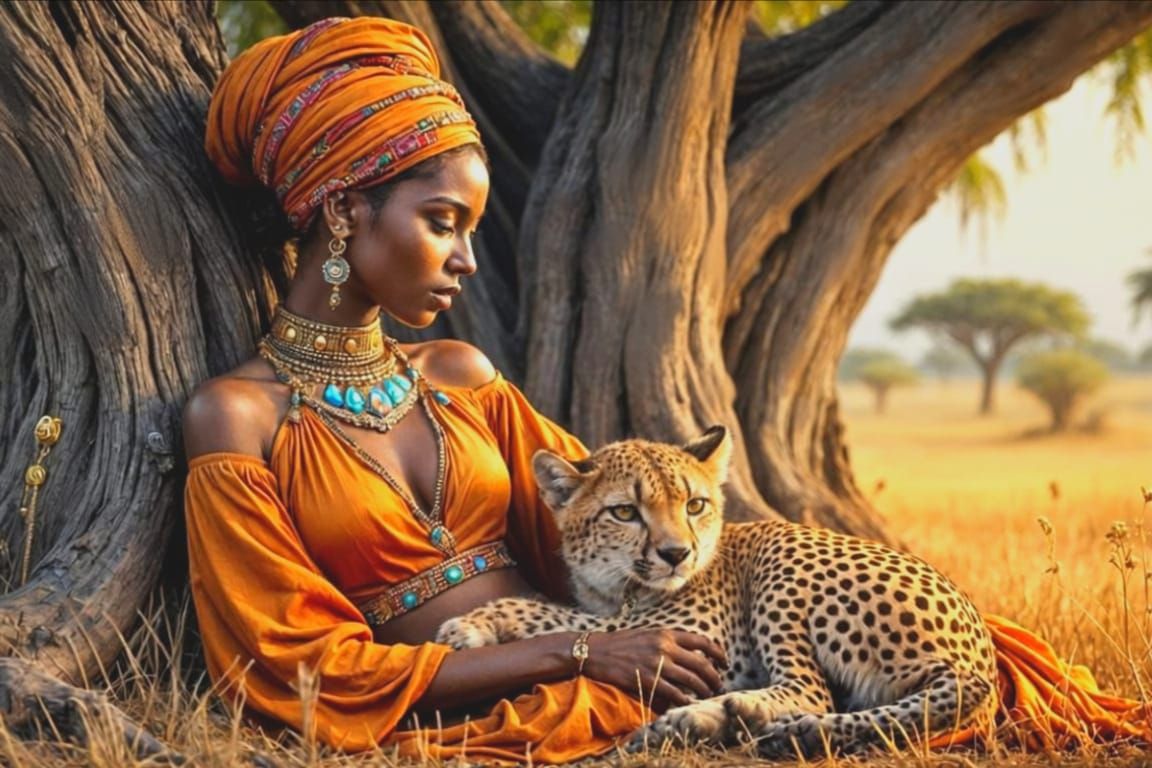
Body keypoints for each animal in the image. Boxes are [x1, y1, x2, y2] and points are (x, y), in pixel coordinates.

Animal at [435, 426, 997, 758]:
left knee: (813, 688)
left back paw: (722, 717)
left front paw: (473, 624)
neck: (618, 586)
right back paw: (705, 722)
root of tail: (983, 654)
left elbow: (560, 618)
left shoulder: (690, 639)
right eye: (625, 512)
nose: (676, 553)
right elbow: (570, 616)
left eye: (695, 504)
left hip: (782, 557)